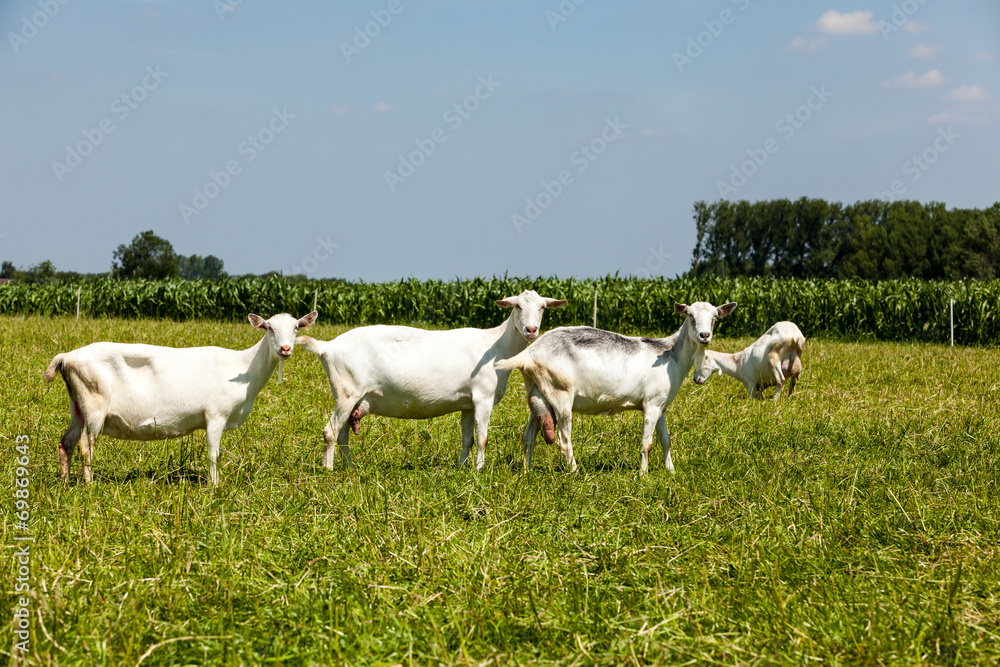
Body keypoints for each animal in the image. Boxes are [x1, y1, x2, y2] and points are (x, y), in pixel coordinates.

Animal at [43, 311, 318, 484]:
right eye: (269, 327)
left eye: (296, 327)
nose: (285, 349)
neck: (242, 368)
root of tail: (66, 357)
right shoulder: (215, 415)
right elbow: (214, 454)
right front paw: (215, 486)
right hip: (94, 407)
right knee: (85, 447)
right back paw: (89, 485)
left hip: (77, 406)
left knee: (66, 443)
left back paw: (65, 482)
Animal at [296, 290, 566, 470]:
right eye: (517, 306)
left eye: (542, 308)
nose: (531, 330)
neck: (496, 346)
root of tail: (328, 346)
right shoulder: (483, 398)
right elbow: (482, 438)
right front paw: (480, 471)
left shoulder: (468, 404)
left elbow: (467, 439)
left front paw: (463, 468)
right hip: (346, 393)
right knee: (330, 432)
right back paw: (329, 470)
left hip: (350, 397)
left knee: (342, 435)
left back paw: (350, 468)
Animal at [496, 301, 737, 473]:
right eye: (690, 315)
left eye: (715, 317)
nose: (705, 336)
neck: (670, 355)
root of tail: (528, 354)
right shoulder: (651, 405)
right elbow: (647, 443)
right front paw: (643, 475)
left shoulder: (660, 405)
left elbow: (665, 440)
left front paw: (671, 471)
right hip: (560, 393)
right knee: (564, 440)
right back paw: (574, 472)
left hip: (538, 392)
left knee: (529, 436)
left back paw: (527, 472)